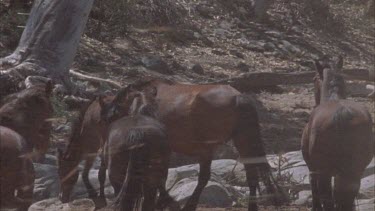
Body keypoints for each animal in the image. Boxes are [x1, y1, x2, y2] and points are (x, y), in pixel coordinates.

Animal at [100, 79, 282, 211]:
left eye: (109, 118)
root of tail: (239, 97)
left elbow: (159, 180)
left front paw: (164, 202)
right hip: (241, 141)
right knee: (251, 174)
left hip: (208, 149)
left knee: (204, 178)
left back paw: (189, 205)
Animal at [302, 56, 375, 210]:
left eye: (313, 78)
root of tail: (342, 114)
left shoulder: (313, 168)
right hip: (354, 172)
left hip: (324, 172)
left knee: (327, 198)